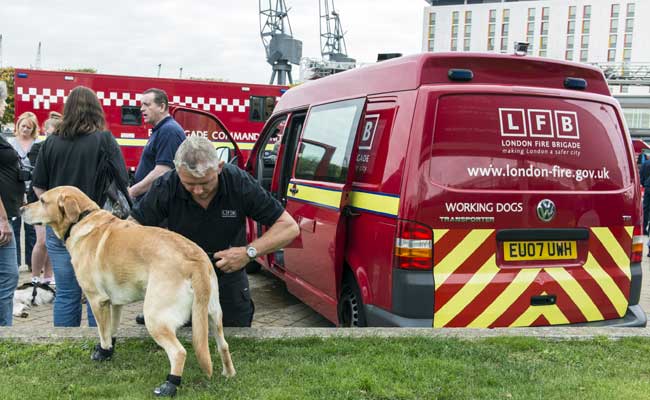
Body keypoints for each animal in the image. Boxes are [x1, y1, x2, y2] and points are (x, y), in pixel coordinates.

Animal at [20, 188, 235, 396]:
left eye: (42, 200)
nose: (21, 209)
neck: (81, 219)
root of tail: (194, 259)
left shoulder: (96, 300)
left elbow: (103, 333)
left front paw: (102, 352)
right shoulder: (115, 303)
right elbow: (112, 329)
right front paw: (108, 352)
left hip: (154, 317)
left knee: (178, 352)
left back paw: (169, 385)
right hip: (212, 314)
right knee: (223, 345)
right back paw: (228, 374)